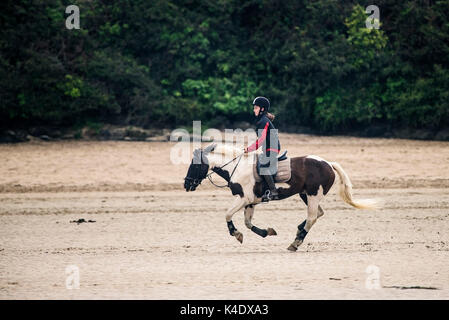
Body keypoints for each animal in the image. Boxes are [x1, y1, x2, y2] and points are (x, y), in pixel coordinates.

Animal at [182, 144, 374, 251]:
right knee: (318, 214)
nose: (187, 185)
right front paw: (267, 232)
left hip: (313, 195)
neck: (237, 166)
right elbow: (248, 223)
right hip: (305, 194)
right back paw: (298, 231)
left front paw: (236, 234)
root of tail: (328, 163)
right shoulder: (251, 202)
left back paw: (296, 243)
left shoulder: (243, 199)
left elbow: (228, 215)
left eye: (195, 165)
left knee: (312, 217)